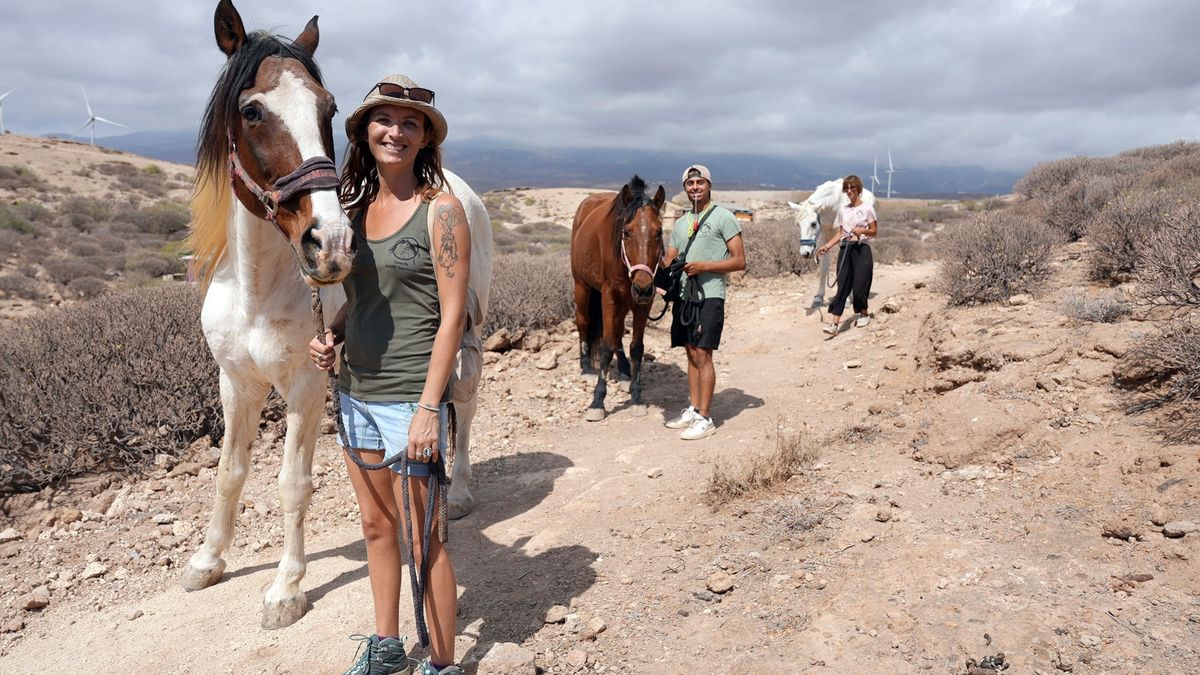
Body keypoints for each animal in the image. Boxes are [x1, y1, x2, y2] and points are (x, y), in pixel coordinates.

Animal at [182, 0, 492, 630]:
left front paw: (285, 589)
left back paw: (459, 494)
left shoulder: (304, 385)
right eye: (251, 110)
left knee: (464, 408)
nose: (331, 245)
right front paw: (208, 559)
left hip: (468, 337)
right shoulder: (236, 382)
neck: (258, 291)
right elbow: (230, 472)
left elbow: (292, 483)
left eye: (328, 108)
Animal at [570, 176, 666, 422]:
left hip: (624, 301)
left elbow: (636, 347)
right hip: (582, 287)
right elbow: (604, 347)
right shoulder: (609, 296)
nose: (642, 288)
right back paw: (586, 368)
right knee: (583, 322)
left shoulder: (642, 303)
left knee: (618, 332)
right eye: (627, 232)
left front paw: (636, 396)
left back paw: (624, 372)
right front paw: (597, 402)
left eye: (659, 232)